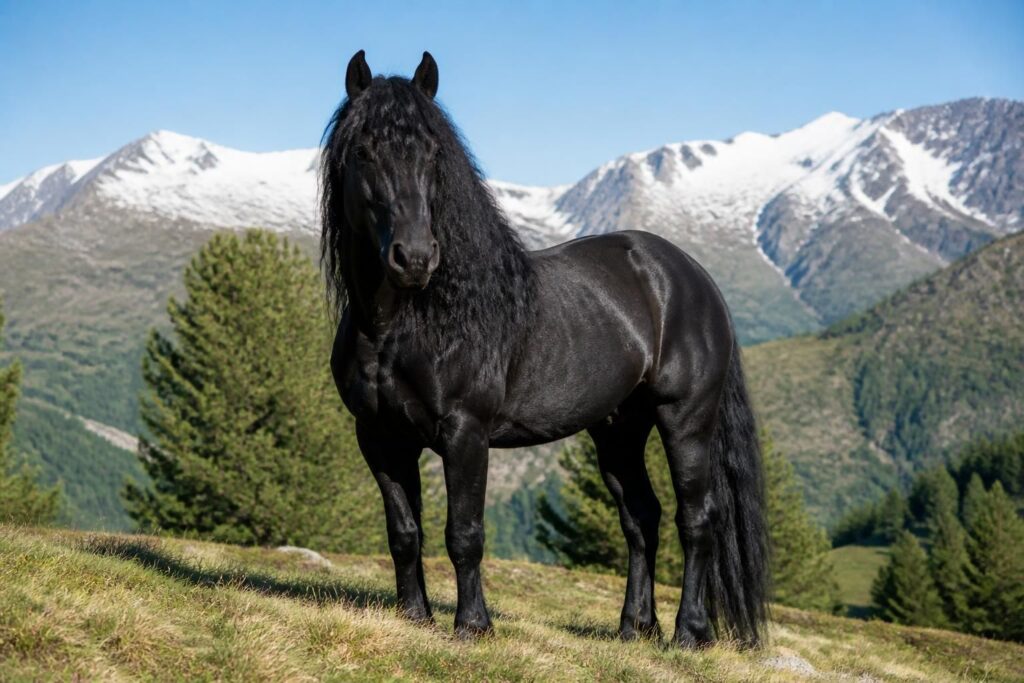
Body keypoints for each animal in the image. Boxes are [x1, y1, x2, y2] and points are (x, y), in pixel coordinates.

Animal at [319, 50, 769, 648]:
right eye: (364, 151)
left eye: (434, 153)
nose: (414, 258)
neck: (402, 325)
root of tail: (691, 275)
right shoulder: (380, 437)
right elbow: (404, 532)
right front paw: (414, 617)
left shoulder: (465, 434)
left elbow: (464, 534)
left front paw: (473, 626)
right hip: (618, 430)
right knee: (641, 518)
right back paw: (634, 628)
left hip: (685, 420)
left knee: (697, 518)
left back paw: (690, 633)